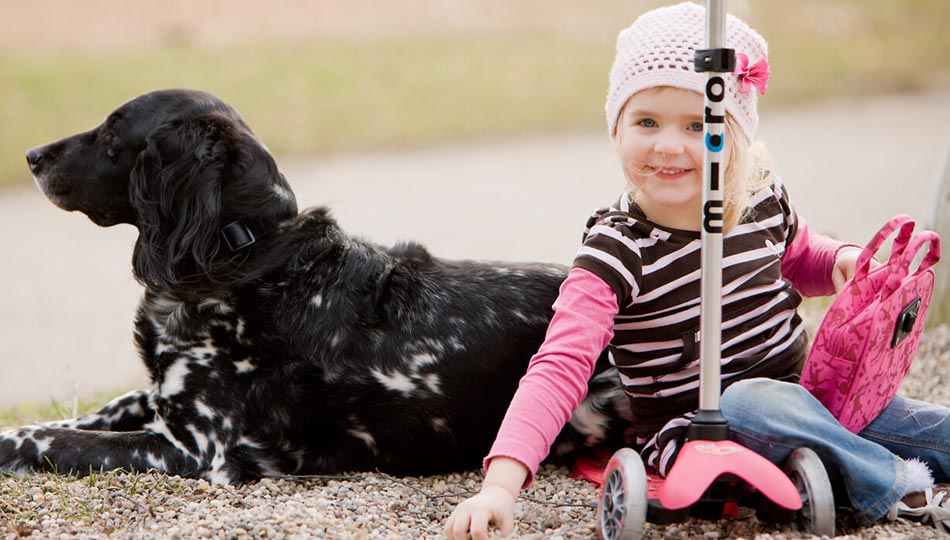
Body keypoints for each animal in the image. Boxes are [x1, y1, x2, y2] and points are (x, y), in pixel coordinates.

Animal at [7, 89, 636, 486]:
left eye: (114, 132)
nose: (31, 155)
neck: (239, 253)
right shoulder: (163, 402)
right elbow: (85, 415)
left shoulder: (193, 448)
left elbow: (40, 440)